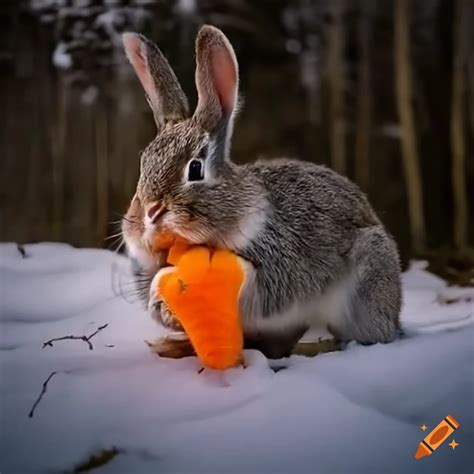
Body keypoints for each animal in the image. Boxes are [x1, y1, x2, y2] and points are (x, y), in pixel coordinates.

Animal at [120, 25, 402, 360]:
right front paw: (162, 307)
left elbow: (257, 287)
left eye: (195, 169)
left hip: (368, 278)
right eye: (143, 164)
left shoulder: (280, 264)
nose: (150, 213)